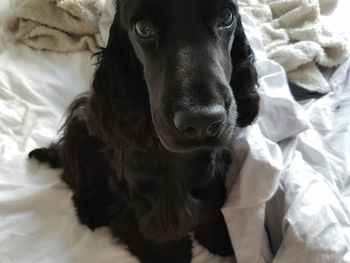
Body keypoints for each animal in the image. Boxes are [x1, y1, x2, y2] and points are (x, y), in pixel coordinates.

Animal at [28, 1, 258, 262]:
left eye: (226, 16)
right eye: (143, 28)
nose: (201, 120)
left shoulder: (211, 173)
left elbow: (211, 205)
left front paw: (220, 238)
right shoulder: (138, 191)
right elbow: (154, 230)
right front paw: (169, 254)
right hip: (80, 126)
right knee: (77, 179)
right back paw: (92, 210)